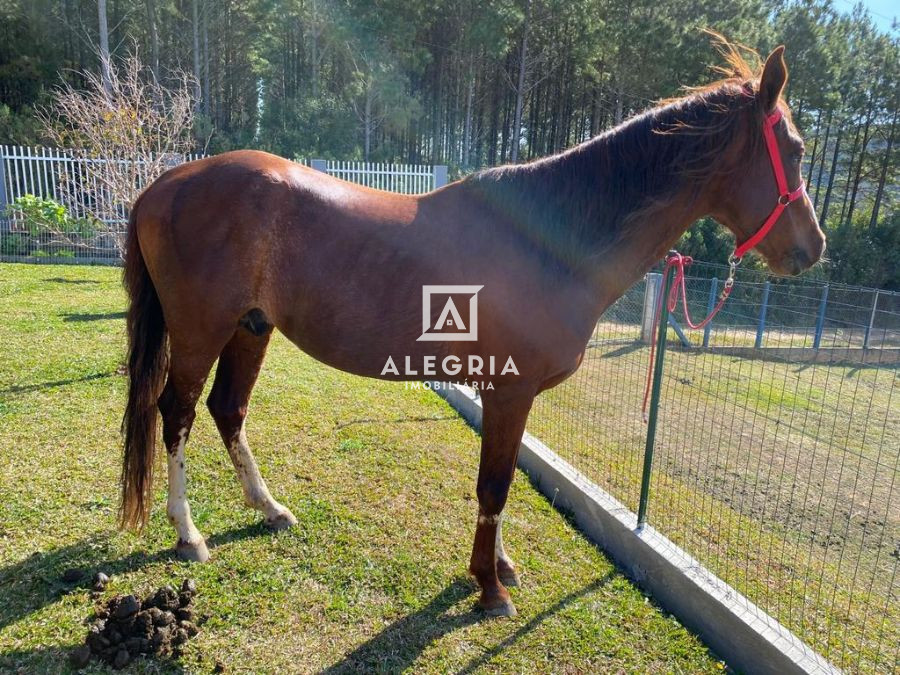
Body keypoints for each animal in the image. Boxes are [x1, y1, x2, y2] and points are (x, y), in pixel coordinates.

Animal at [121, 46, 824, 616]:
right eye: (793, 150)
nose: (811, 248)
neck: (545, 241)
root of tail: (161, 184)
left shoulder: (510, 394)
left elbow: (502, 479)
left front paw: (502, 567)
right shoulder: (508, 391)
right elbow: (494, 484)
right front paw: (488, 587)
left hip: (251, 329)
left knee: (227, 410)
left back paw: (269, 509)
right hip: (200, 332)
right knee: (175, 412)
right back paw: (188, 535)